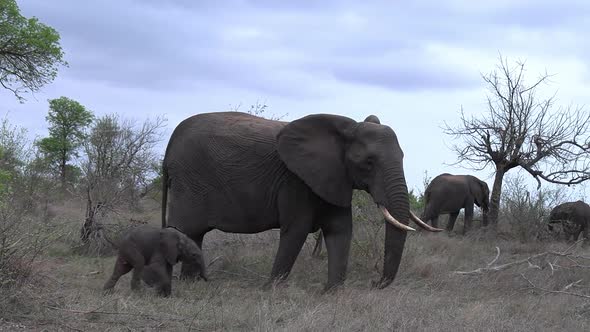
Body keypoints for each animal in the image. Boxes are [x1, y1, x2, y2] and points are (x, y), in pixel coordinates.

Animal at [164, 112, 442, 294]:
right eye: (369, 162)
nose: (374, 283)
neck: (345, 129)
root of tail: (168, 147)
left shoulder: (333, 176)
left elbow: (340, 231)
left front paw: (331, 292)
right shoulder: (294, 180)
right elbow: (296, 230)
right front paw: (270, 290)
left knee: (193, 235)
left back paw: (192, 284)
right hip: (189, 182)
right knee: (187, 231)